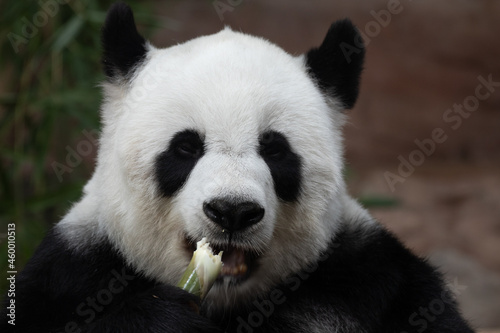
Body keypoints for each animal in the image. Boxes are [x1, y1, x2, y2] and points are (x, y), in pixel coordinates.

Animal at [1, 2, 474, 332]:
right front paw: (163, 319)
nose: (232, 211)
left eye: (275, 150)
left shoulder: (370, 282)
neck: (222, 300)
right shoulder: (70, 276)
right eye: (186, 148)